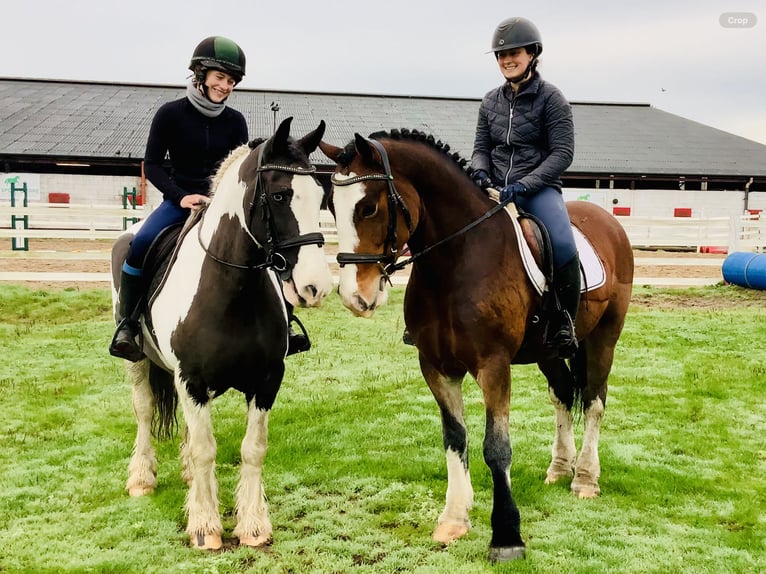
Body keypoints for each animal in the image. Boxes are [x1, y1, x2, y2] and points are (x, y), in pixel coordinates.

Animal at [110, 117, 334, 550]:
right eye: (280, 196)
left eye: (320, 197)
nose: (316, 287)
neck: (232, 292)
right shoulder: (192, 380)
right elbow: (204, 450)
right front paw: (204, 527)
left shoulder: (266, 381)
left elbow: (253, 449)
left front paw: (253, 525)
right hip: (138, 362)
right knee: (144, 411)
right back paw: (141, 478)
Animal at [319, 129, 634, 562]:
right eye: (332, 206)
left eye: (368, 207)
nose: (355, 297)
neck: (456, 261)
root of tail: (608, 222)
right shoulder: (436, 367)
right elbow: (455, 438)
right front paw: (453, 520)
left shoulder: (493, 366)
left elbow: (496, 447)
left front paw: (507, 536)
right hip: (549, 352)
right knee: (562, 394)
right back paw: (559, 468)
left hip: (604, 337)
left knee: (593, 400)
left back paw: (585, 478)